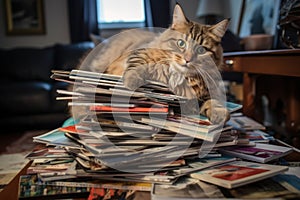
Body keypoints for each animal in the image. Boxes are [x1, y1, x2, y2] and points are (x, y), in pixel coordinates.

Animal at [78, 3, 230, 123]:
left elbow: (213, 102)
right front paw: (132, 81)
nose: (187, 59)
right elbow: (137, 65)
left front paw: (219, 113)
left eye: (201, 50)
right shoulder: (140, 53)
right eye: (181, 43)